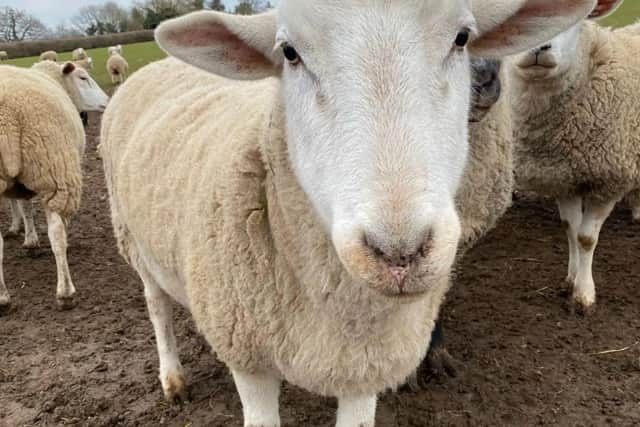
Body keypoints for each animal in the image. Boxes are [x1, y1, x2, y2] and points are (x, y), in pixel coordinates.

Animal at [0, 61, 109, 314]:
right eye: (83, 77)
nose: (107, 101)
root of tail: (7, 119)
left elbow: (26, 208)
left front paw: (29, 241)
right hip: (56, 169)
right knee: (57, 232)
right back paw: (66, 293)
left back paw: (2, 298)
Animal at [101, 2, 600, 424]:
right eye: (289, 52)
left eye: (462, 38)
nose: (399, 254)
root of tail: (159, 64)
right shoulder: (250, 359)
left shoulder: (366, 365)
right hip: (132, 241)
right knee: (157, 307)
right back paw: (173, 377)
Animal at [508, 0, 636, 314]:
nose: (539, 46)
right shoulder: (563, 177)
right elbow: (571, 229)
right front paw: (571, 278)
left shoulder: (609, 181)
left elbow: (586, 238)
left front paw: (584, 295)